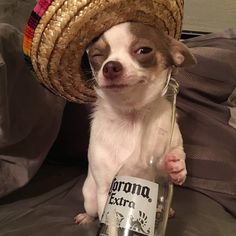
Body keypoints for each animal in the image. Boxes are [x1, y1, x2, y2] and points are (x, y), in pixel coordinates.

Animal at [74, 21, 196, 223]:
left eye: (144, 50)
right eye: (97, 56)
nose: (110, 66)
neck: (132, 116)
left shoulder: (166, 151)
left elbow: (176, 153)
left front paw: (177, 166)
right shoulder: (107, 188)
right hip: (90, 198)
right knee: (92, 211)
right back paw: (86, 217)